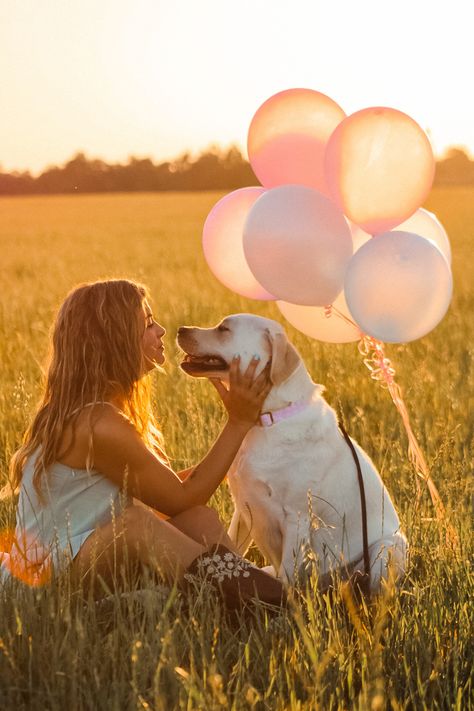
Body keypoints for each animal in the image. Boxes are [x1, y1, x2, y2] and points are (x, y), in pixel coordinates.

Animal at [178, 316, 408, 588]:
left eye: (224, 329)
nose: (180, 329)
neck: (268, 419)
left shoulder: (296, 517)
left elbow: (288, 574)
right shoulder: (243, 507)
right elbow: (234, 547)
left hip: (386, 548)